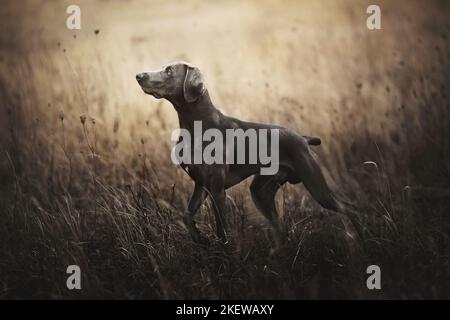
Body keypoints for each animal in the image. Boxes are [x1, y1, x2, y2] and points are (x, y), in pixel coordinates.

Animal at [135, 61, 342, 244]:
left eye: (169, 70)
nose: (138, 75)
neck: (196, 125)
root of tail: (303, 138)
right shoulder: (201, 184)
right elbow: (186, 216)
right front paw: (200, 239)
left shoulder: (217, 190)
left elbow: (222, 232)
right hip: (260, 192)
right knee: (281, 228)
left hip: (316, 186)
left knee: (346, 207)